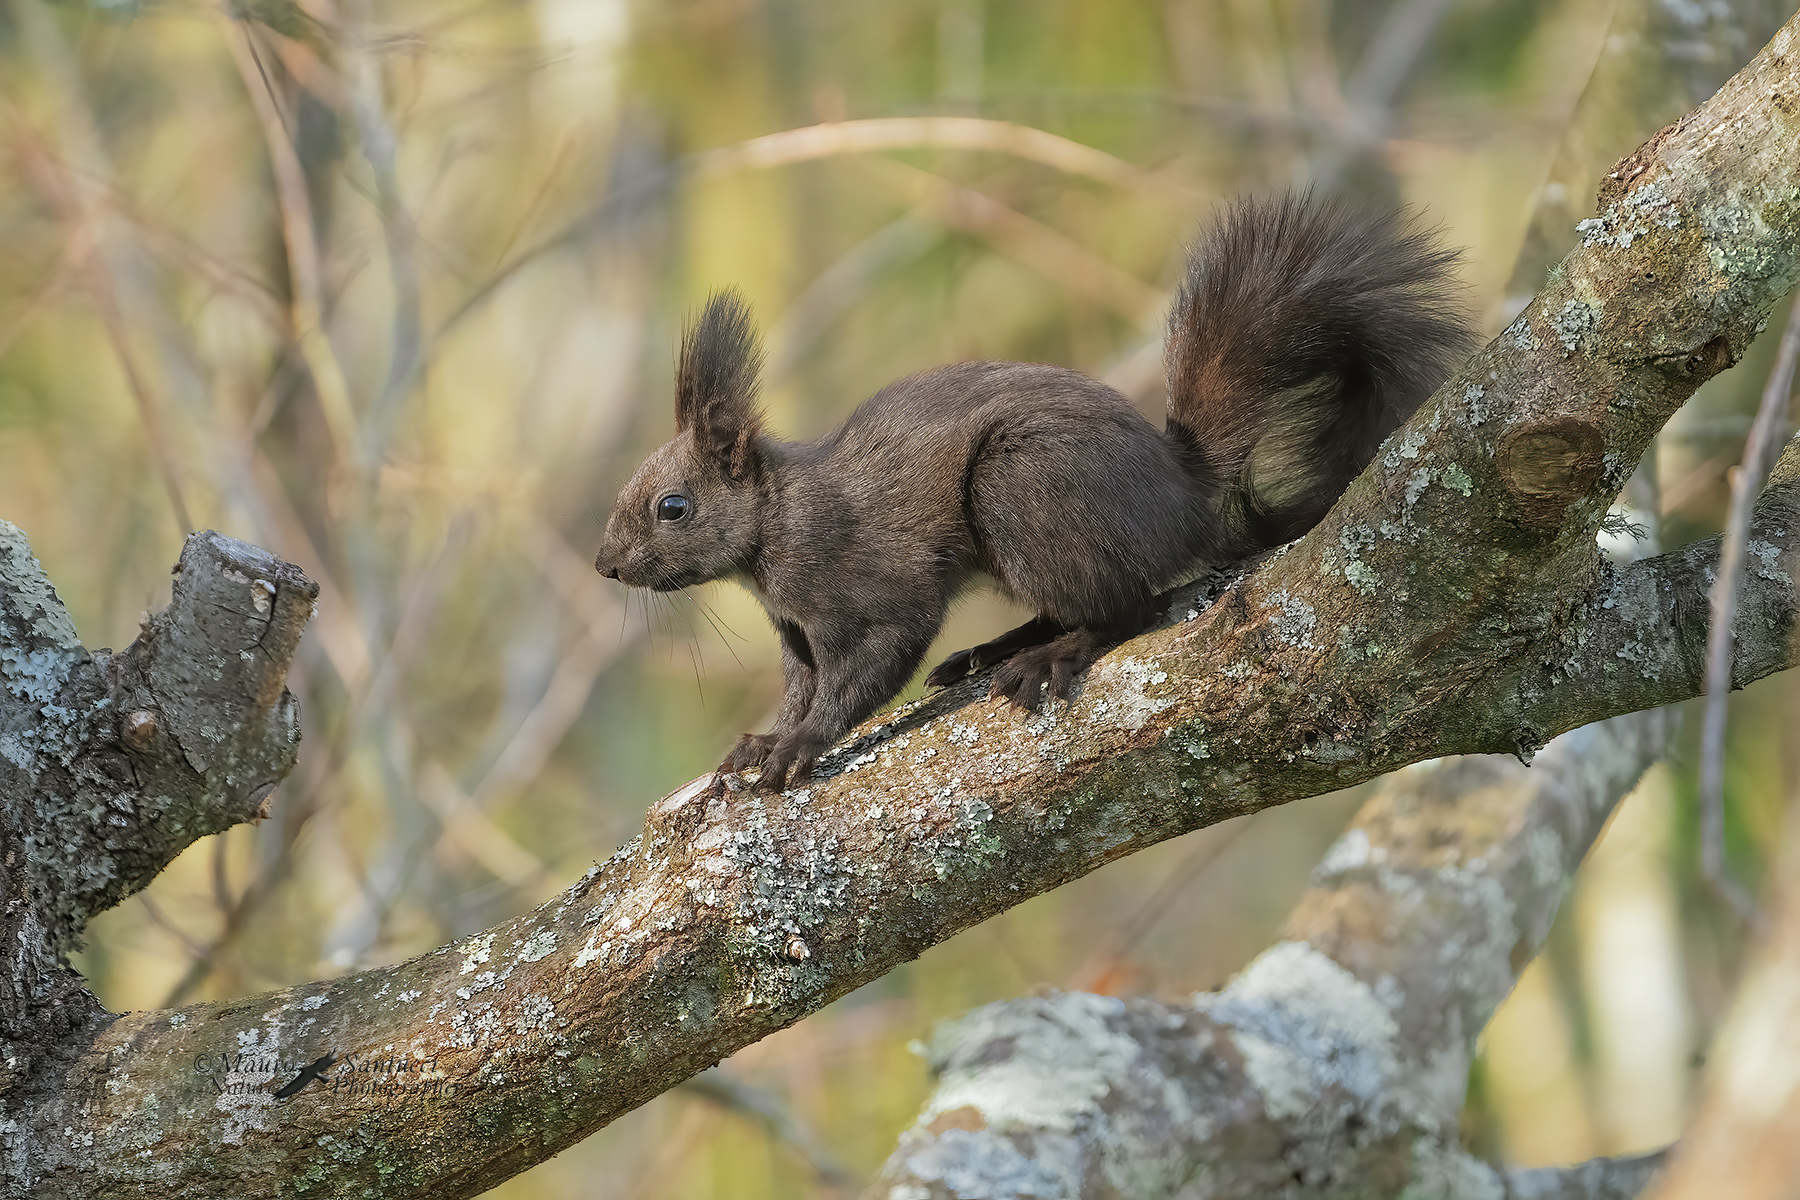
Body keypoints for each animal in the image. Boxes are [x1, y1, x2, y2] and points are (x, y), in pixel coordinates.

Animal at [594, 193, 1474, 791]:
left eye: (673, 507)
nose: (607, 564)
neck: (775, 526)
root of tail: (1183, 495)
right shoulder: (797, 634)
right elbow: (805, 687)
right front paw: (764, 741)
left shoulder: (865, 584)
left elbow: (870, 664)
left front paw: (802, 746)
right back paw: (993, 649)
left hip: (1022, 484)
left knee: (1126, 606)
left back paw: (1054, 652)